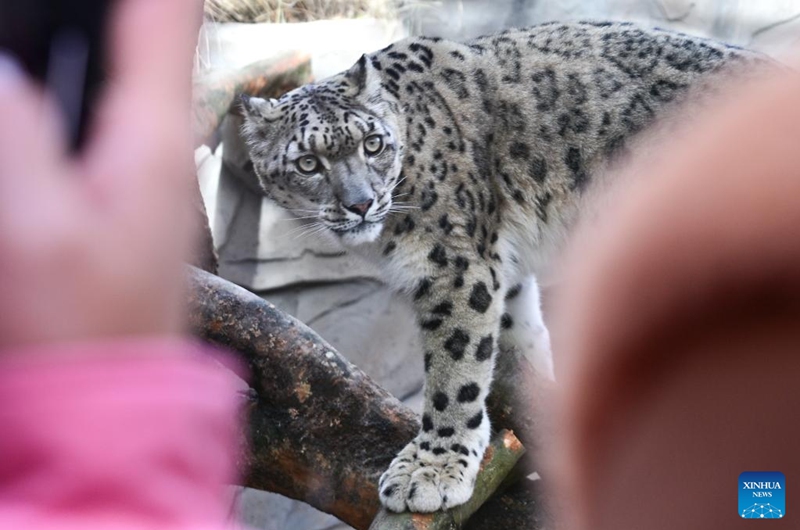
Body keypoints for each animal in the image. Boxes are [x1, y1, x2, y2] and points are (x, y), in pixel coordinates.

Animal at [239, 21, 765, 513]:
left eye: (371, 143)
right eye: (308, 163)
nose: (361, 203)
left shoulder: (454, 265)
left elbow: (455, 370)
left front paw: (431, 468)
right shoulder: (500, 270)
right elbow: (517, 342)